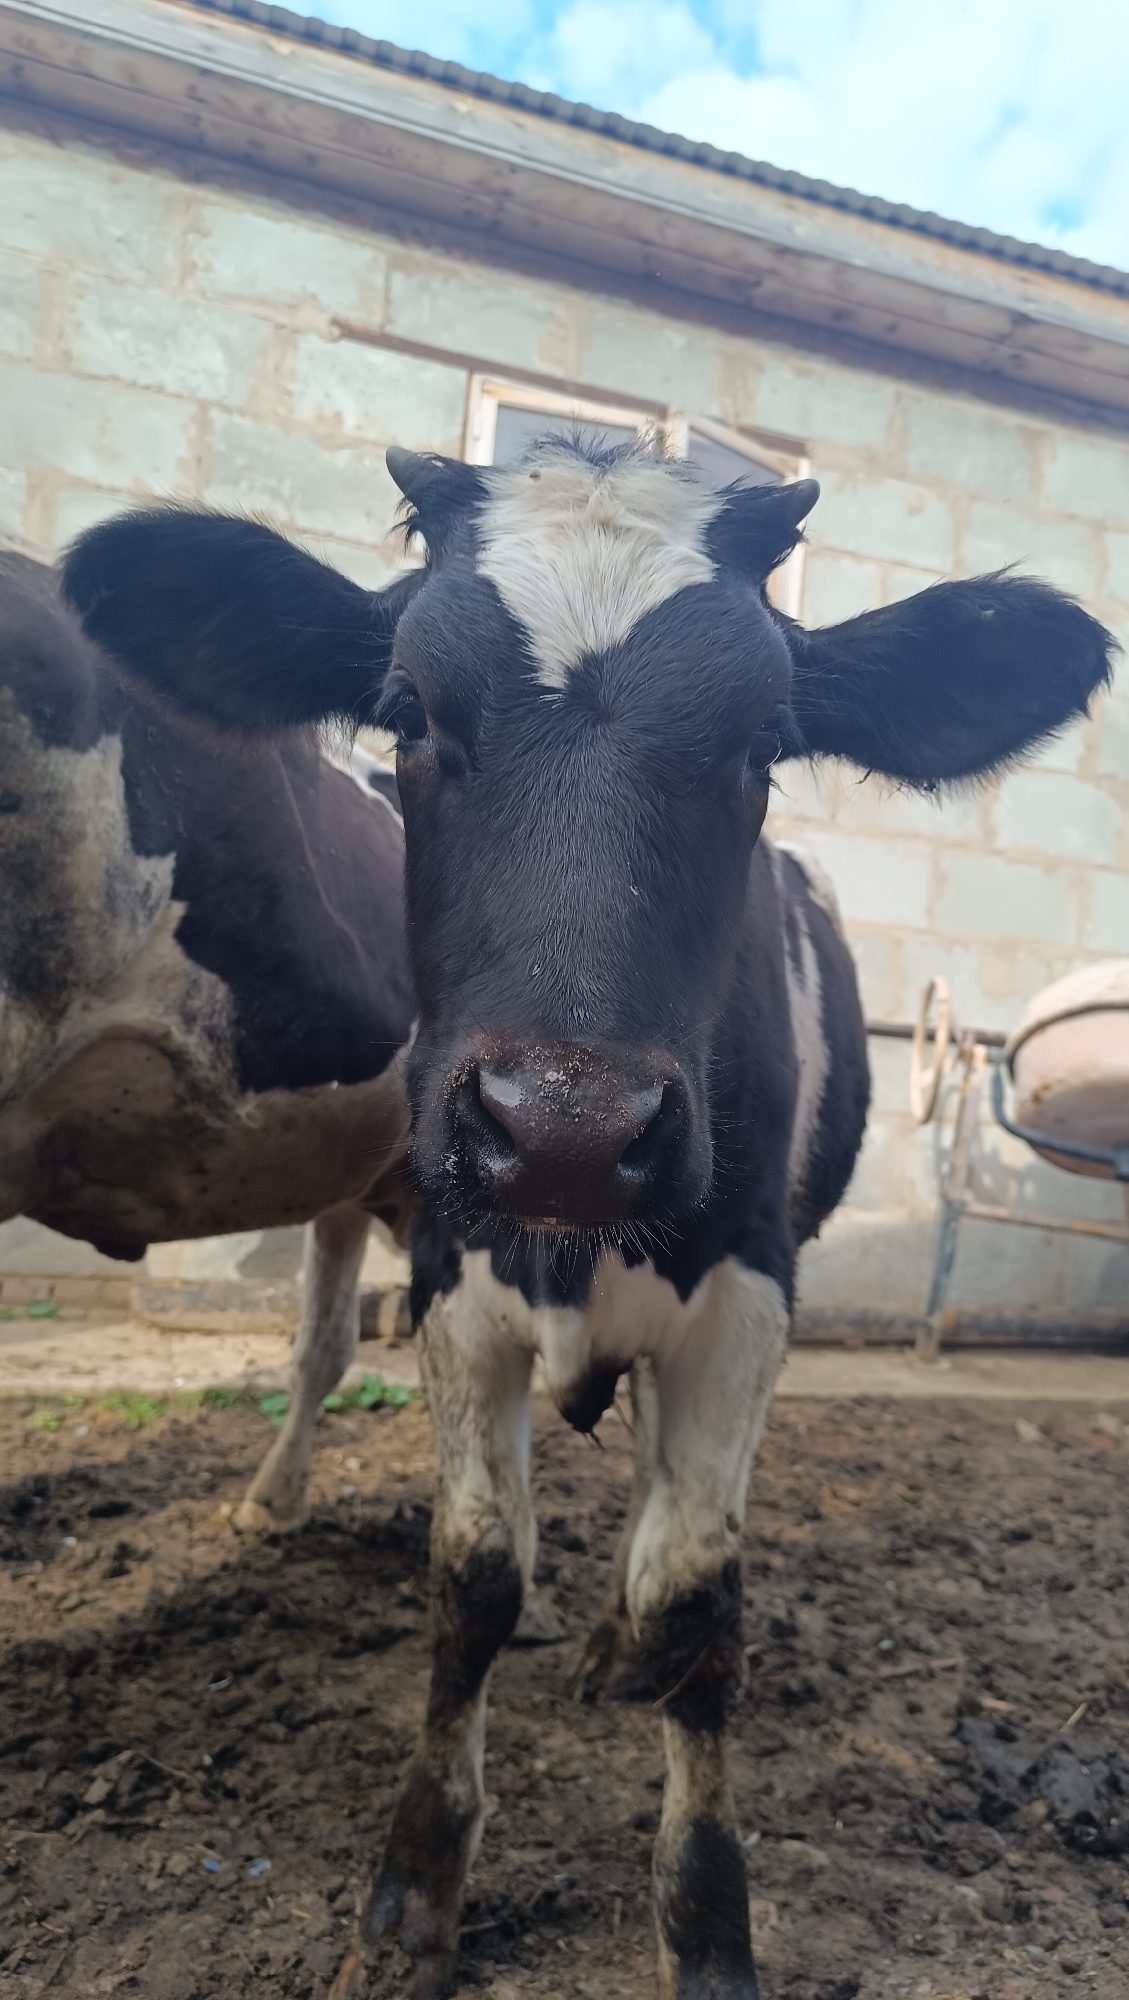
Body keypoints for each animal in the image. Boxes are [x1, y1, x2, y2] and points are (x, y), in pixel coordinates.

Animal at [62, 441, 1114, 1998]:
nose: (563, 1124)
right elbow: (473, 1575)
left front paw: (708, 1921)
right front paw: (414, 1892)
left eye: (764, 740)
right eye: (407, 709)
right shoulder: (452, 1279)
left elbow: (696, 1601)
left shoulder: (747, 1299)